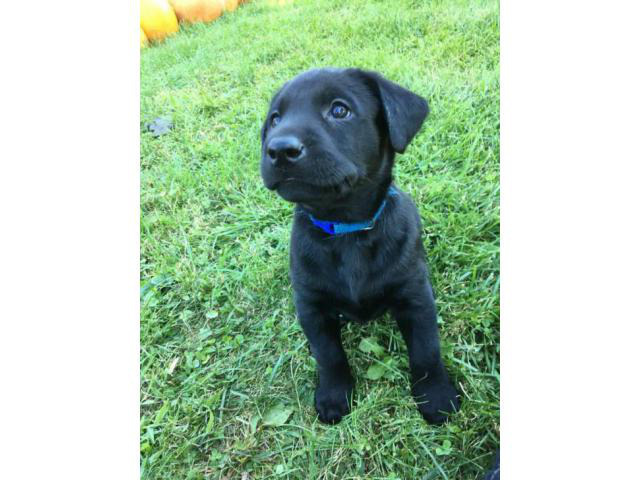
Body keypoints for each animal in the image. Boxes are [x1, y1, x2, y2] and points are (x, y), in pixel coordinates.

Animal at [260, 66, 460, 424]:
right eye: (275, 119)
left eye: (340, 110)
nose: (279, 149)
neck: (347, 230)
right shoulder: (310, 305)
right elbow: (328, 355)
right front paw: (334, 395)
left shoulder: (416, 296)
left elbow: (426, 351)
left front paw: (436, 396)